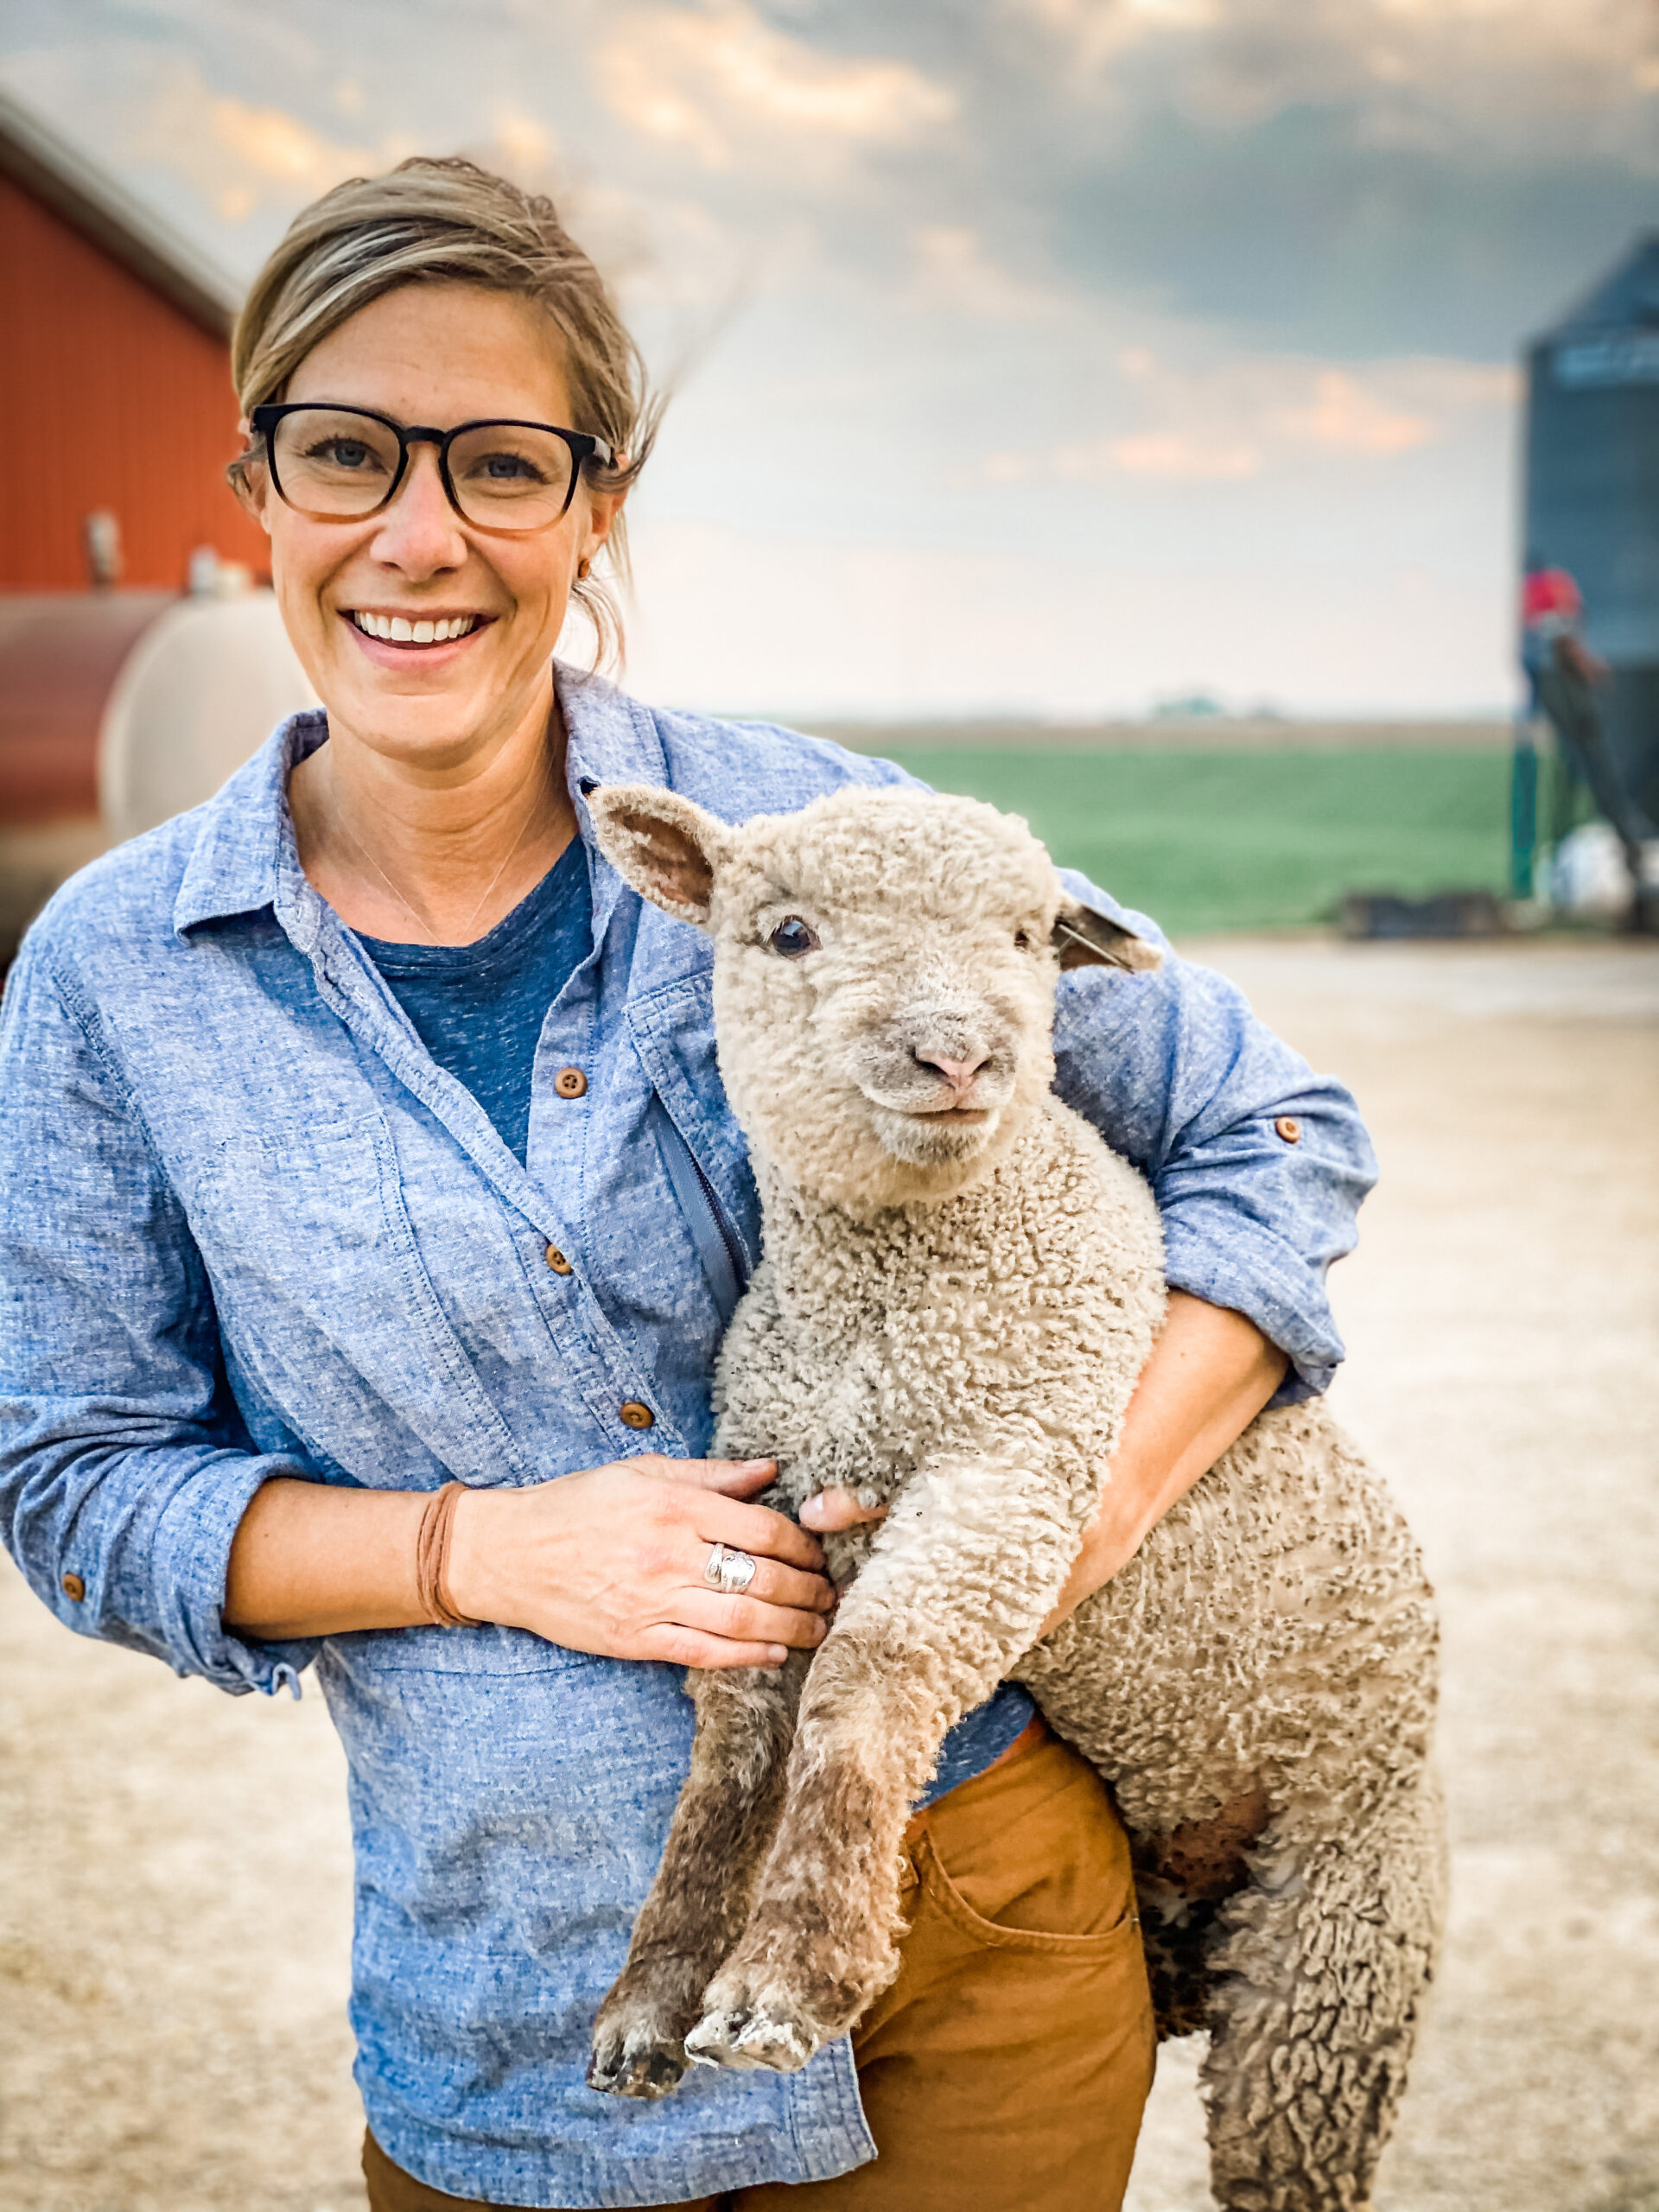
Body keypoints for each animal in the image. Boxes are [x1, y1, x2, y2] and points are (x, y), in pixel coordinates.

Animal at [583, 783, 1442, 2212]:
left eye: (1033, 935)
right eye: (789, 932)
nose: (956, 1058)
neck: (892, 1303)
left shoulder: (1014, 1474)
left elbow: (868, 1680)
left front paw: (787, 1982)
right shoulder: (769, 1502)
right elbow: (731, 1756)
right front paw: (652, 2001)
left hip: (1339, 1943)